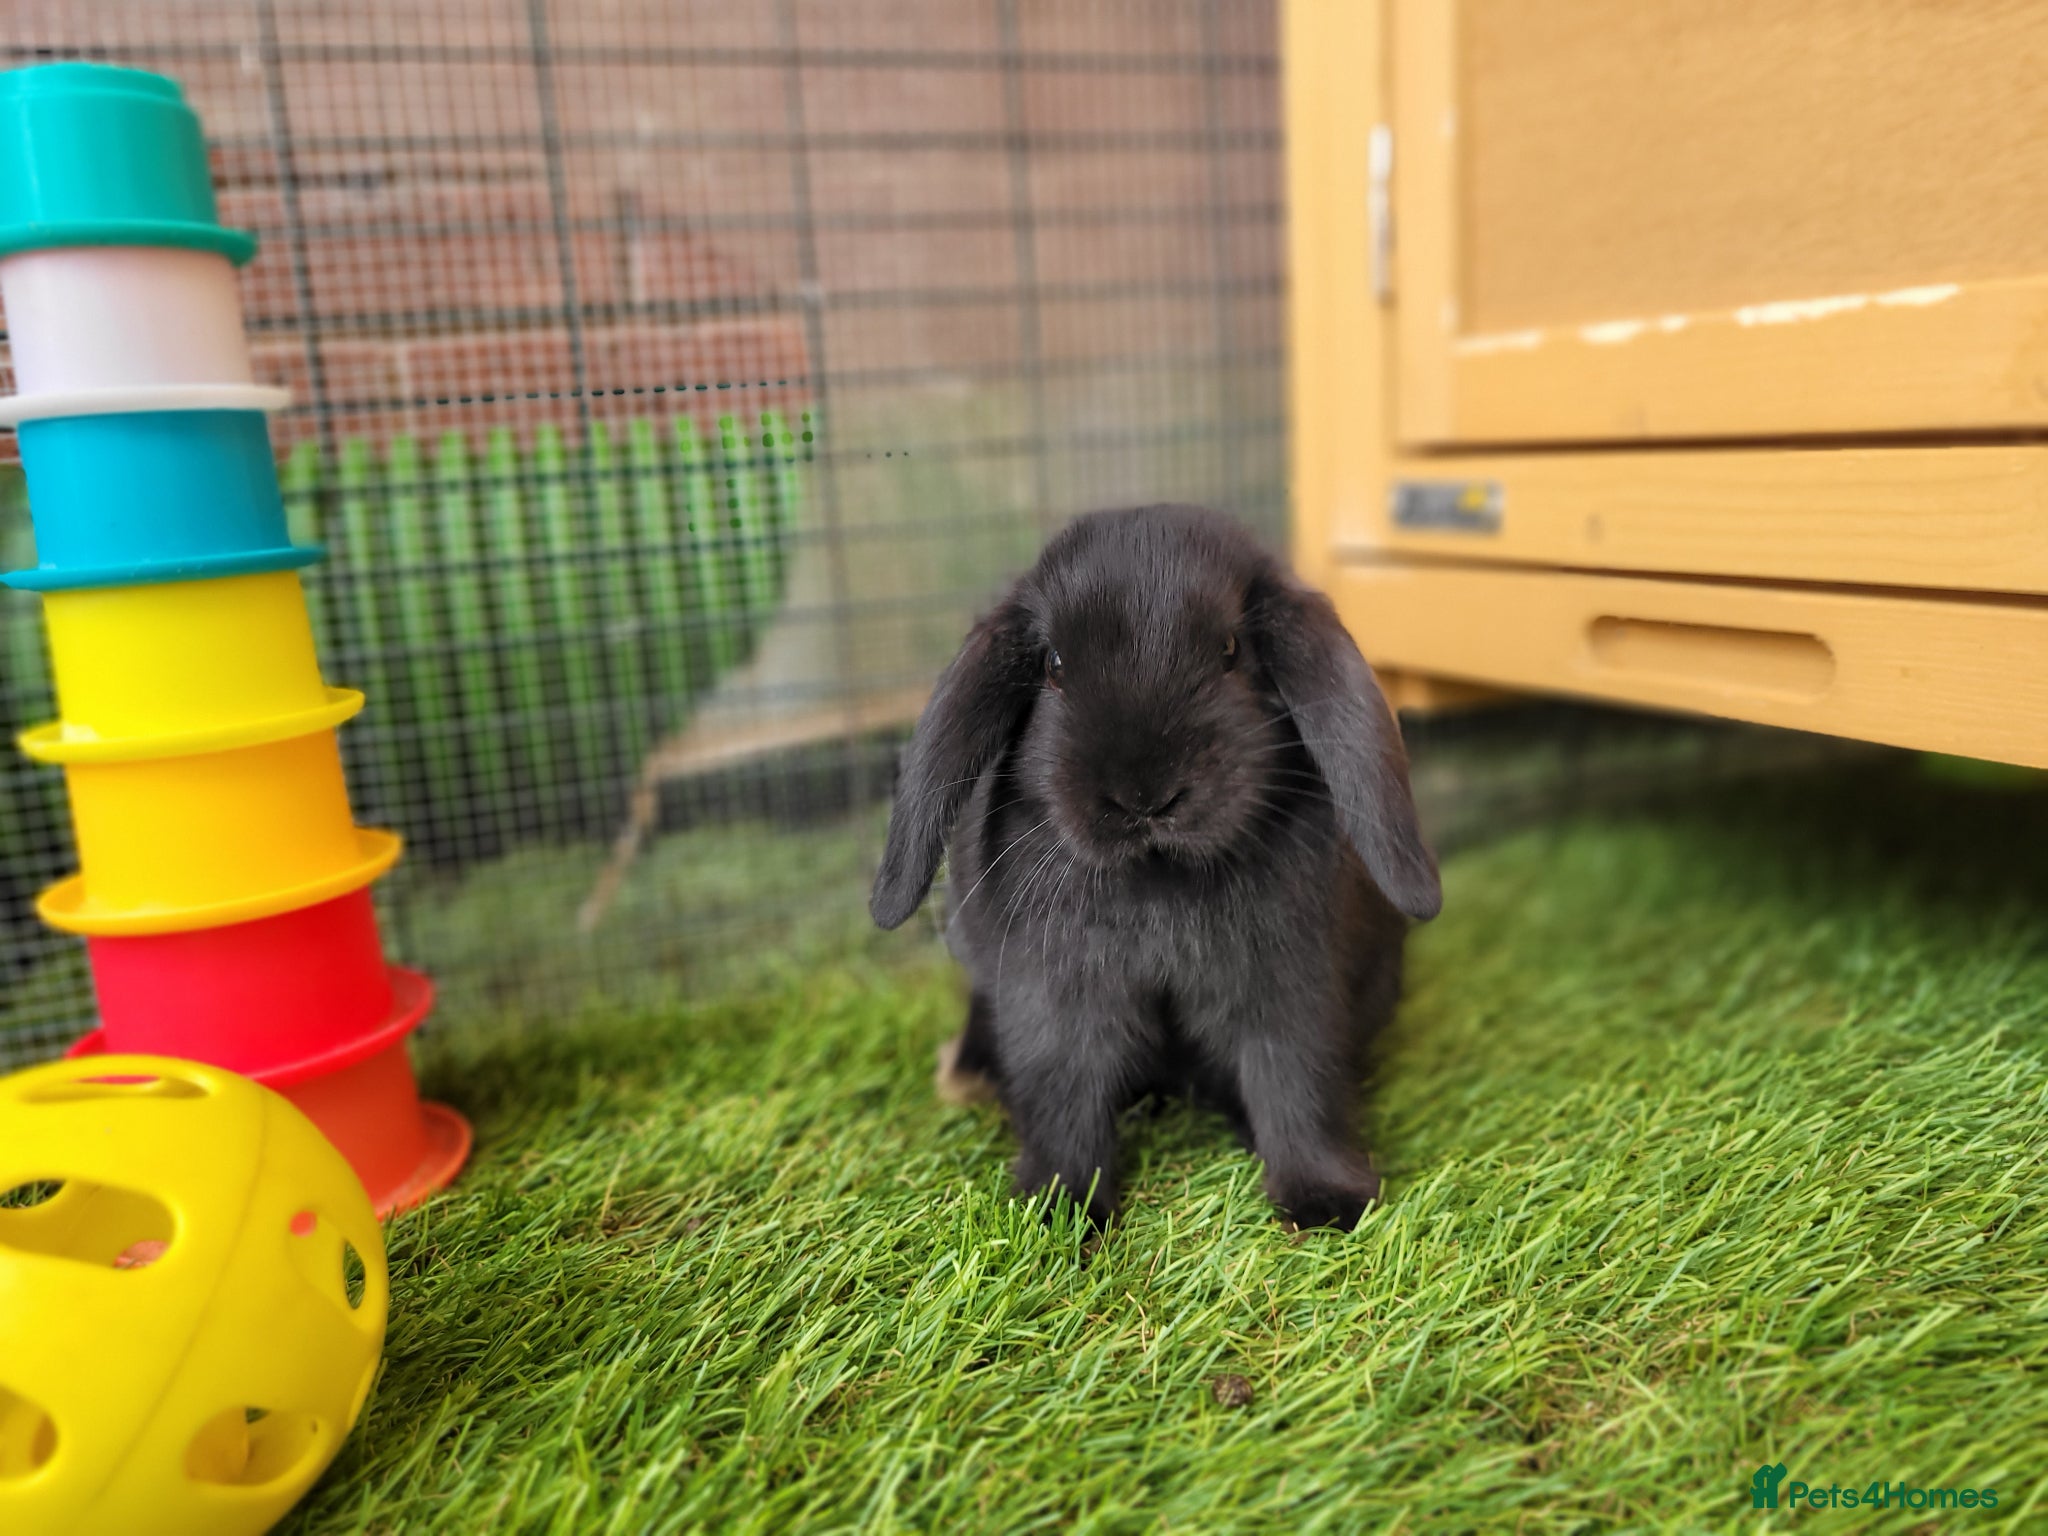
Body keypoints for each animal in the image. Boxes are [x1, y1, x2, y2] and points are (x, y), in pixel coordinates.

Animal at [870, 504, 1441, 1231]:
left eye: (1230, 650)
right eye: (1054, 664)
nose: (1144, 795)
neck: (1158, 879)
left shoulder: (1290, 991)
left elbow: (1297, 1088)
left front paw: (1327, 1205)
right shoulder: (1054, 1001)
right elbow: (1064, 1099)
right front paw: (1059, 1212)